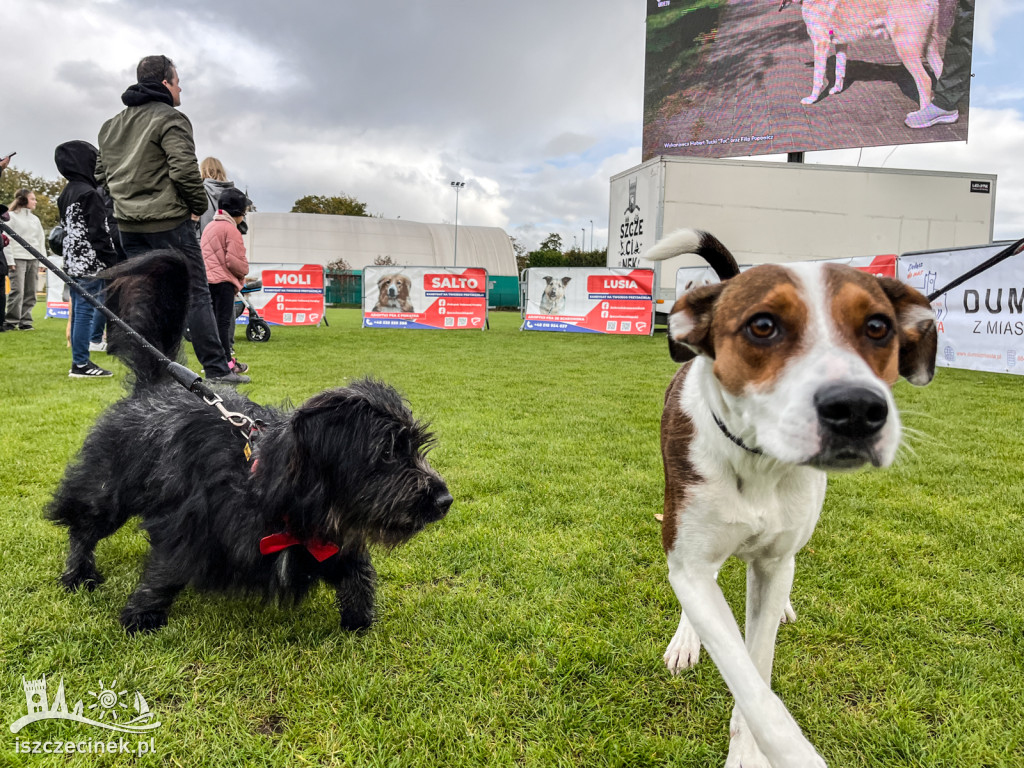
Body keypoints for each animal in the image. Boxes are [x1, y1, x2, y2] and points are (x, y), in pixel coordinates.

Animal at [47, 249, 448, 634]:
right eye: (387, 452)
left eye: (415, 447)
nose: (445, 500)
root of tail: (156, 385)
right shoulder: (191, 526)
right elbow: (165, 571)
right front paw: (142, 615)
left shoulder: (335, 540)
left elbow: (358, 578)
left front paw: (360, 622)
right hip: (107, 491)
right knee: (82, 527)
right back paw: (79, 573)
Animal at [647, 230, 937, 768]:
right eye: (762, 326)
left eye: (878, 327)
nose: (858, 409)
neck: (759, 461)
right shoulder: (691, 560)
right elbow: (752, 687)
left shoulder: (773, 560)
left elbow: (758, 666)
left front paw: (746, 750)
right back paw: (686, 638)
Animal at [798, 0, 942, 108]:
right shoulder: (841, 44)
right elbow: (840, 70)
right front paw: (837, 89)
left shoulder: (821, 44)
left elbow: (817, 78)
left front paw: (812, 99)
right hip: (929, 47)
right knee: (940, 70)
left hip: (906, 49)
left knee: (925, 81)